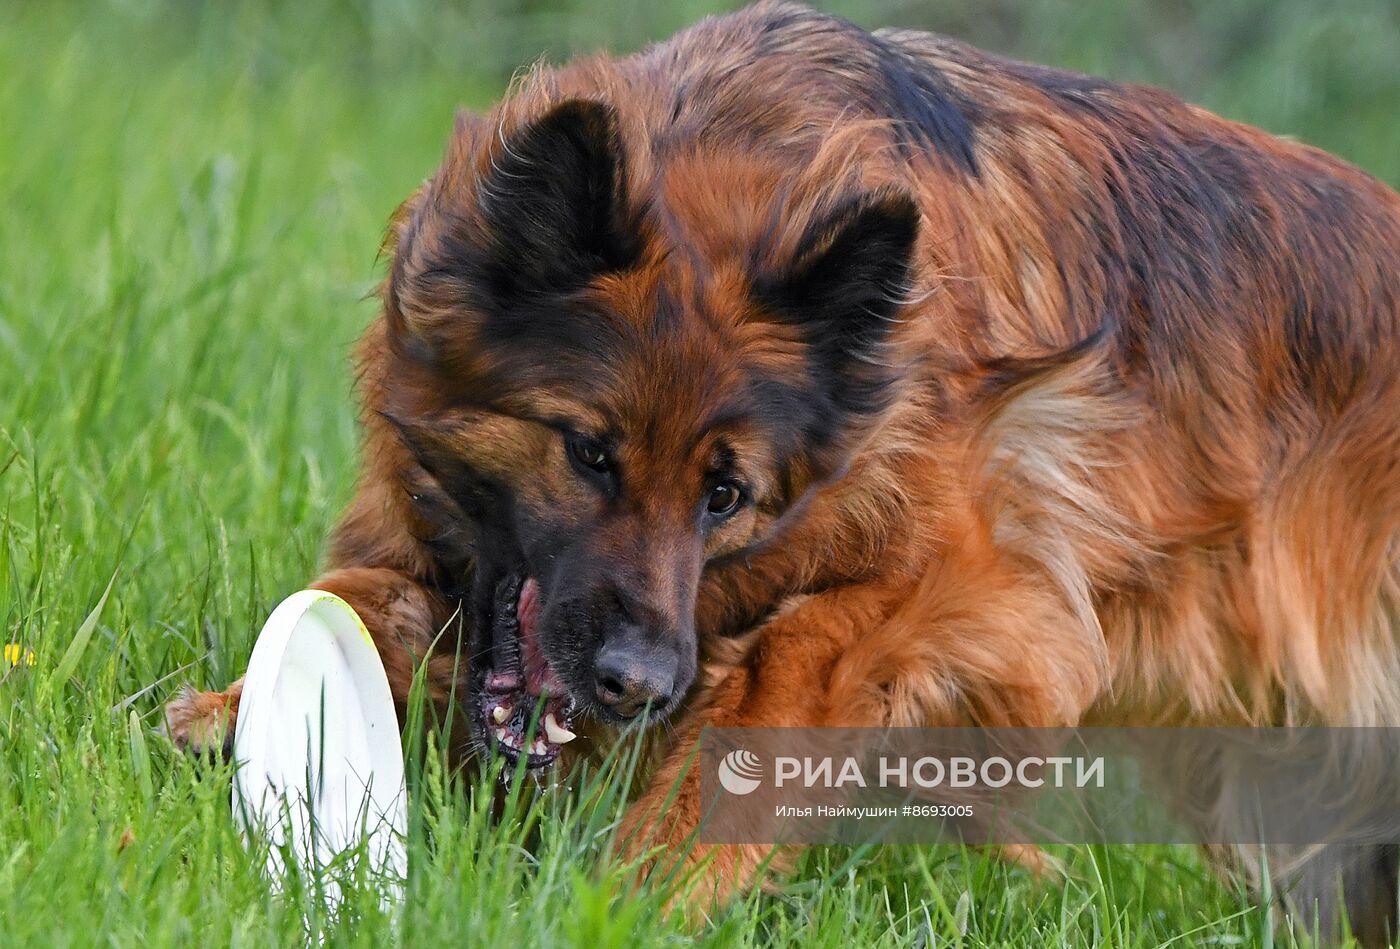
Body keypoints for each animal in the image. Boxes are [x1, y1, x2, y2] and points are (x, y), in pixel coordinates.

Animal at [163, 3, 1400, 946]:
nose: (637, 684)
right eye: (588, 451)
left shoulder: (972, 583)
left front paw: (641, 890)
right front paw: (229, 710)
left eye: (725, 494)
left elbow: (769, 688)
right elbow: (356, 599)